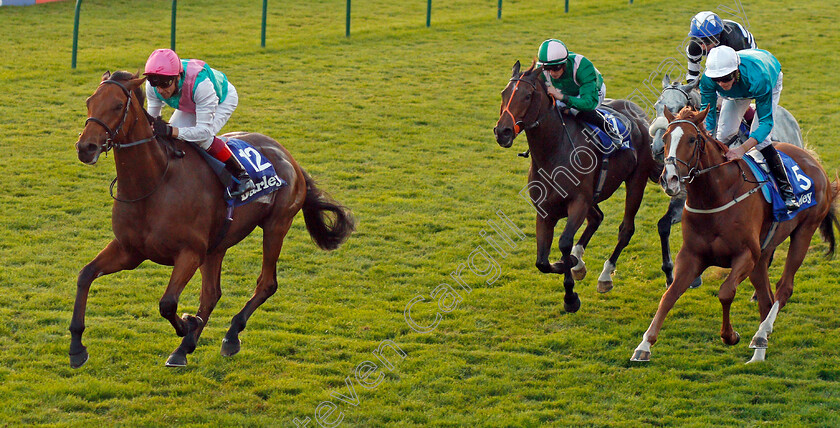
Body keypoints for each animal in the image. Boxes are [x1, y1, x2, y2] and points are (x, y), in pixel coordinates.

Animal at [68, 71, 352, 368]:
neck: (154, 184)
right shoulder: (130, 250)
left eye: (116, 106)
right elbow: (85, 274)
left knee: (266, 283)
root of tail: (289, 156)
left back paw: (229, 335)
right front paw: (76, 346)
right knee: (212, 293)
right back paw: (184, 348)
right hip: (217, 245)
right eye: (89, 102)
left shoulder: (189, 252)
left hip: (276, 225)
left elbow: (167, 303)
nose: (85, 147)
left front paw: (188, 323)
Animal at [492, 61, 664, 310]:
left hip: (636, 181)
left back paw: (605, 276)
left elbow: (564, 243)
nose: (502, 132)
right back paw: (580, 262)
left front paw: (570, 296)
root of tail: (640, 116)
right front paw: (572, 265)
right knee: (597, 218)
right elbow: (541, 262)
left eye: (527, 96)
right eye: (504, 93)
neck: (553, 152)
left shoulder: (579, 202)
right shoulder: (545, 211)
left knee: (626, 229)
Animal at [632, 105, 840, 362]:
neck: (716, 196)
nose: (668, 178)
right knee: (766, 298)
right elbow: (669, 296)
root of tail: (812, 160)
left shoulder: (745, 256)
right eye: (666, 139)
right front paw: (644, 345)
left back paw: (761, 334)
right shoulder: (691, 256)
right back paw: (759, 353)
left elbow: (725, 292)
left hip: (804, 232)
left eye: (691, 139)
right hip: (764, 252)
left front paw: (730, 336)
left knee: (784, 288)